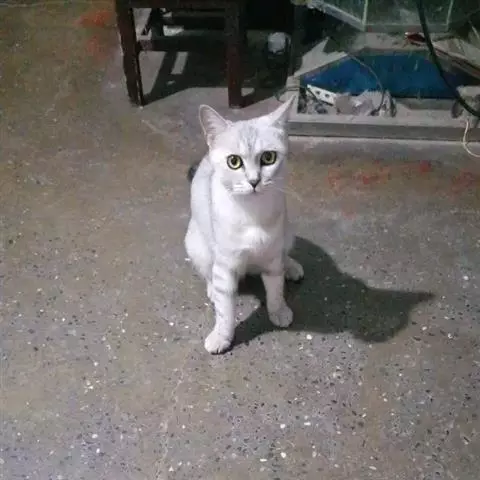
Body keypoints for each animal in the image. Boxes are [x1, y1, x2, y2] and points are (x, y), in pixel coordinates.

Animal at [184, 98, 304, 354]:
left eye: (268, 158)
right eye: (234, 162)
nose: (254, 181)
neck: (252, 214)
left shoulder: (271, 258)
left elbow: (275, 289)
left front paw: (278, 311)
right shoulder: (225, 264)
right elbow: (225, 310)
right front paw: (222, 336)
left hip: (288, 233)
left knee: (284, 256)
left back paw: (291, 267)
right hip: (196, 245)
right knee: (208, 273)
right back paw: (211, 288)